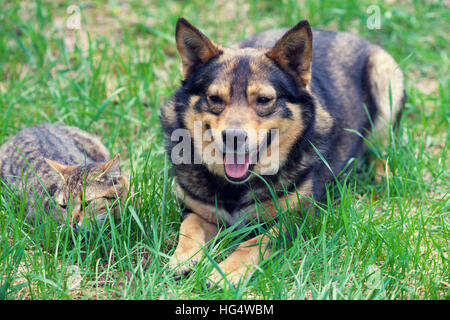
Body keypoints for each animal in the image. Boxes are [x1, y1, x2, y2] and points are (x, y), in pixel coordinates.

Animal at [161, 17, 404, 286]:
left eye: (264, 100)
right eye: (214, 98)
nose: (233, 137)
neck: (236, 188)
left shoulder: (296, 218)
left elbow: (254, 243)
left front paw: (226, 273)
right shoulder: (194, 208)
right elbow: (190, 226)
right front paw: (184, 258)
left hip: (386, 80)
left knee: (383, 148)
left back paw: (383, 177)